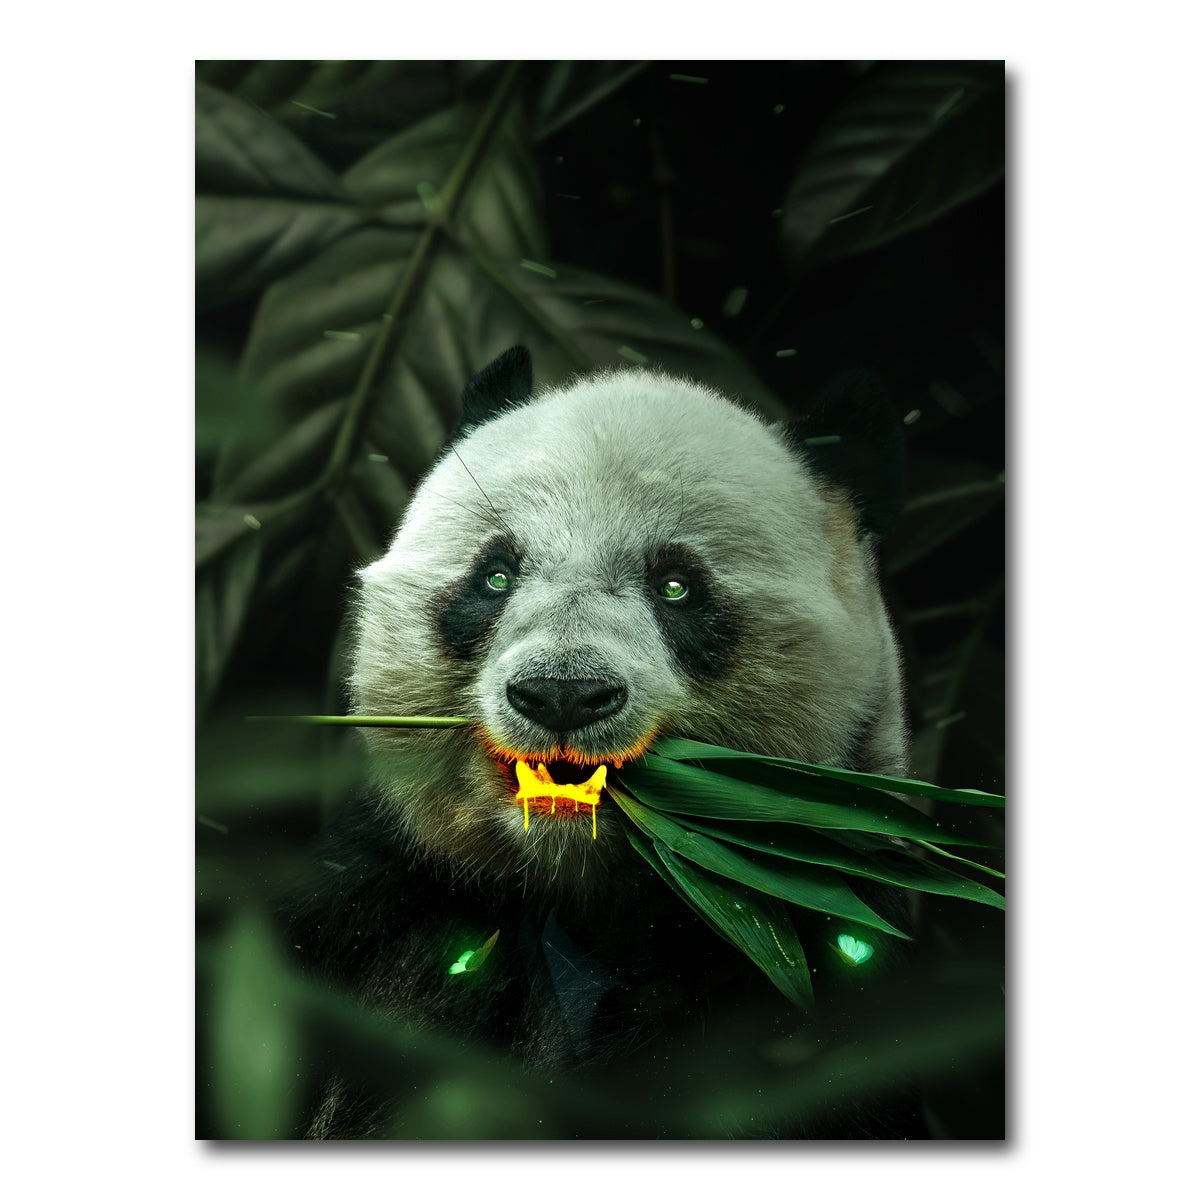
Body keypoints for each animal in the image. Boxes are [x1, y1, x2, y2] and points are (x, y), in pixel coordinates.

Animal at [287, 345, 919, 1139]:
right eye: (496, 575)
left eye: (677, 586)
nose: (562, 693)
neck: (580, 888)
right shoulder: (384, 889)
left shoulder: (810, 952)